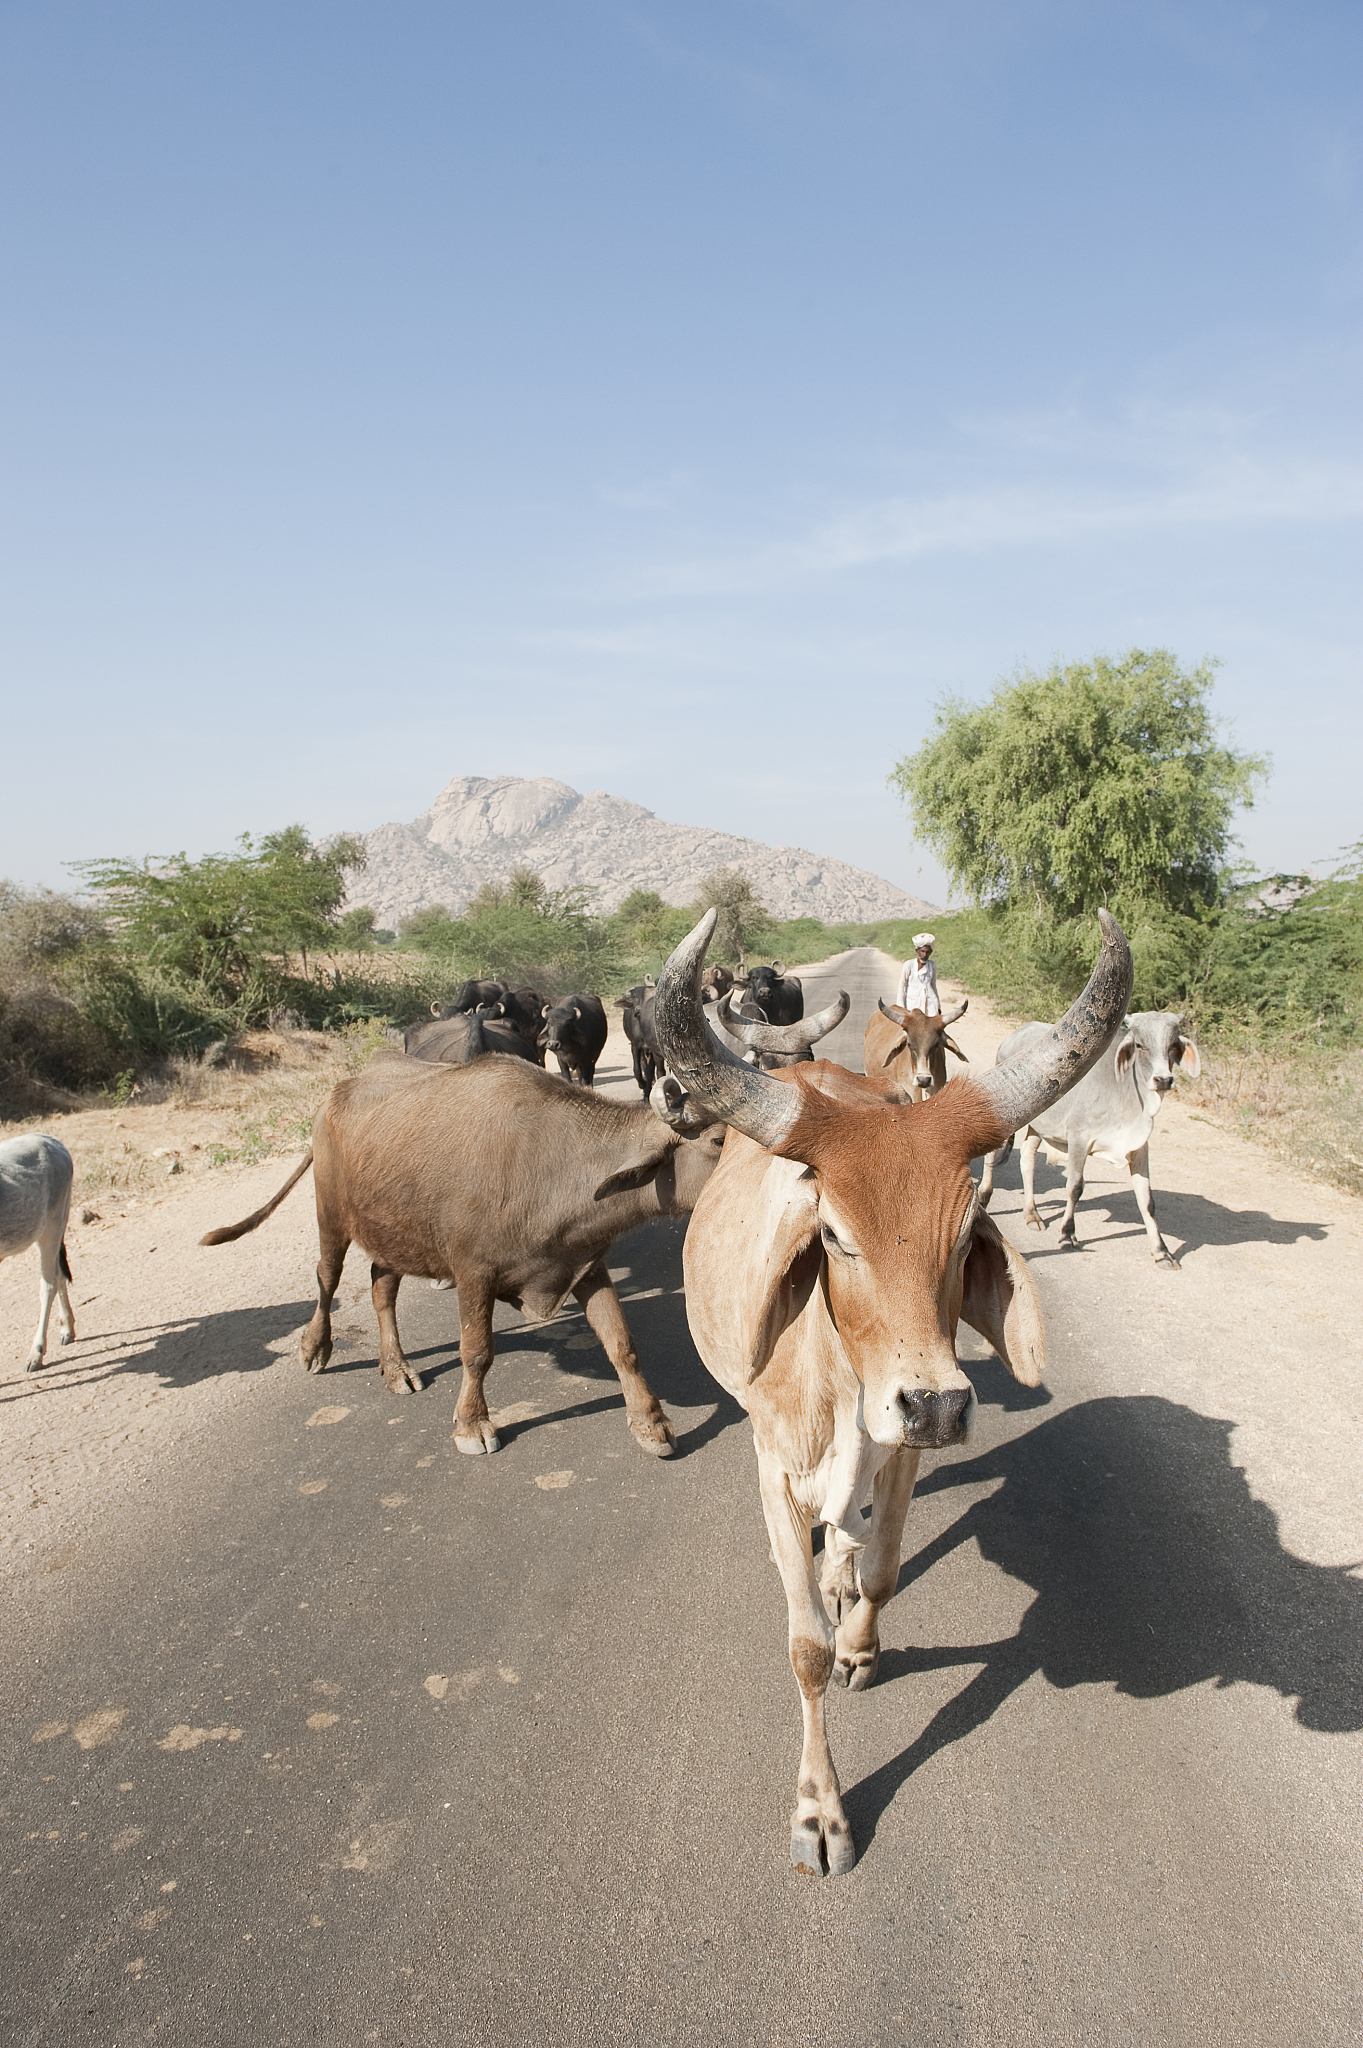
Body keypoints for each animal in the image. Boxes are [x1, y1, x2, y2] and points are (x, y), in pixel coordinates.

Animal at [1, 1133, 76, 1372]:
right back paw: (67, 1329)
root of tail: (48, 1139)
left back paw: (36, 1353)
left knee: (48, 1285)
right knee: (59, 1275)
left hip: (53, 1225)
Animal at [200, 1055, 726, 1457]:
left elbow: (621, 1343)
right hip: (330, 1215)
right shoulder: (473, 1274)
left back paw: (397, 1367)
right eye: (719, 1140)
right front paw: (472, 1424)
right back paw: (316, 1347)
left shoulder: (583, 1264)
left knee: (381, 1286)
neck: (553, 1162)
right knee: (327, 1277)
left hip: (396, 1231)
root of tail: (338, 1092)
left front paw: (651, 1424)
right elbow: (476, 1352)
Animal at [977, 1009, 1200, 1268]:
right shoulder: (1079, 1138)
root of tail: (1014, 1035)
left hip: (1039, 1125)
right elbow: (1075, 1187)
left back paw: (1032, 1213)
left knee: (1028, 1158)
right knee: (993, 1154)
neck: (1127, 1091)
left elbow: (1147, 1201)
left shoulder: (1139, 1149)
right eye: (1139, 1044)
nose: (1163, 1080)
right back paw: (985, 1193)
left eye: (1173, 1045)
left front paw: (1162, 1252)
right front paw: (1067, 1234)